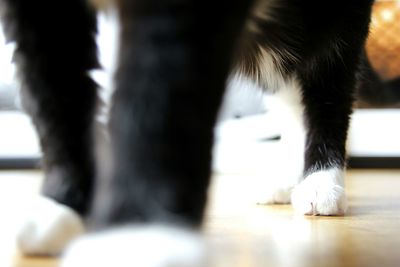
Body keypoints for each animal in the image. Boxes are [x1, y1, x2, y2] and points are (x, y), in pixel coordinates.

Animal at [1, 0, 374, 266]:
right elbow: (53, 96)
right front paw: (61, 203)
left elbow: (158, 99)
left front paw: (139, 238)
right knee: (289, 94)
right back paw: (287, 178)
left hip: (328, 20)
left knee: (327, 91)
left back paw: (321, 181)